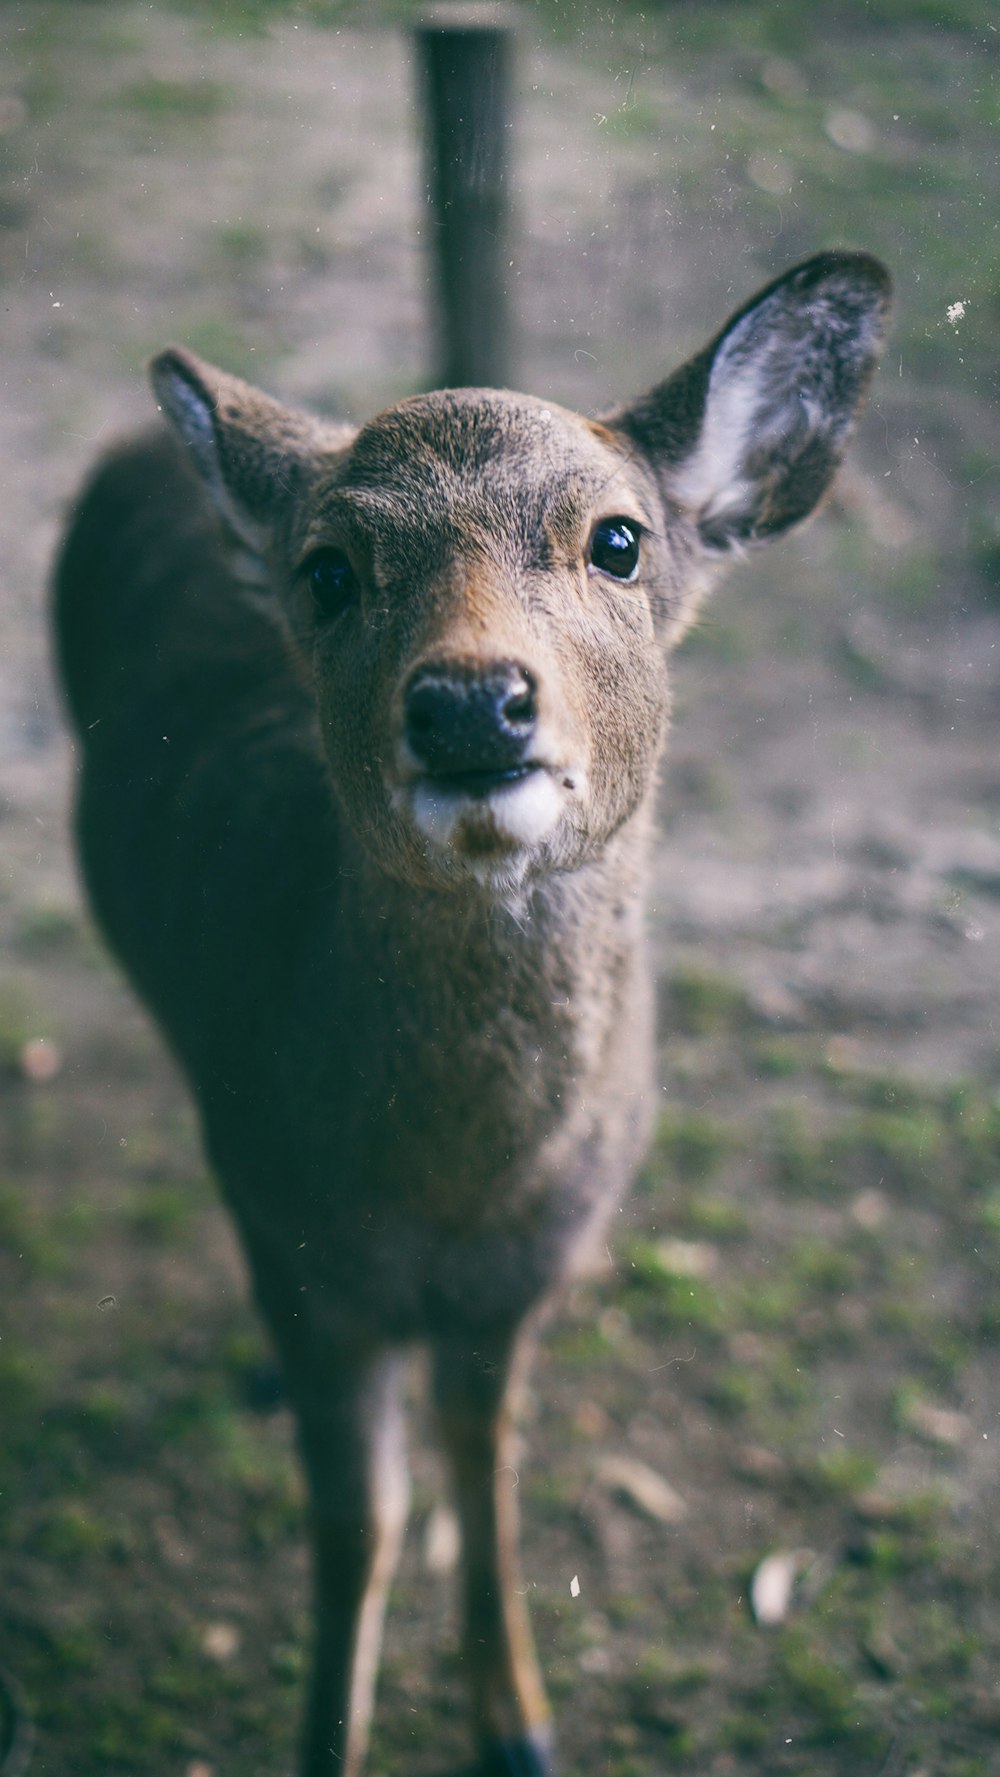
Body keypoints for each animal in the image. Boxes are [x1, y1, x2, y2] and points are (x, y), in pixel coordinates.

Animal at [50, 254, 888, 1777]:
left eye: (618, 540)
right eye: (330, 569)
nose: (468, 700)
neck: (444, 1190)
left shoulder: (531, 1268)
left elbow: (483, 1465)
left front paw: (523, 1725)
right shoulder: (299, 1243)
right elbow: (358, 1523)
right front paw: (328, 1737)